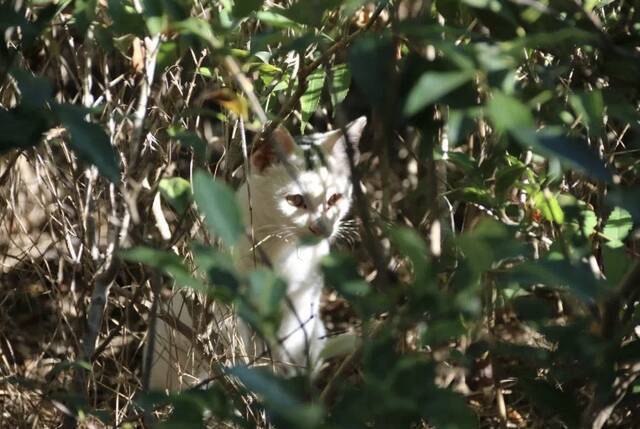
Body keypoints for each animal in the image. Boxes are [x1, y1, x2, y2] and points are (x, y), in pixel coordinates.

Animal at [150, 116, 368, 388]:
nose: (321, 228)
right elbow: (243, 351)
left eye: (335, 198)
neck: (281, 251)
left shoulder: (299, 303)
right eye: (295, 200)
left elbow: (286, 352)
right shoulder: (229, 308)